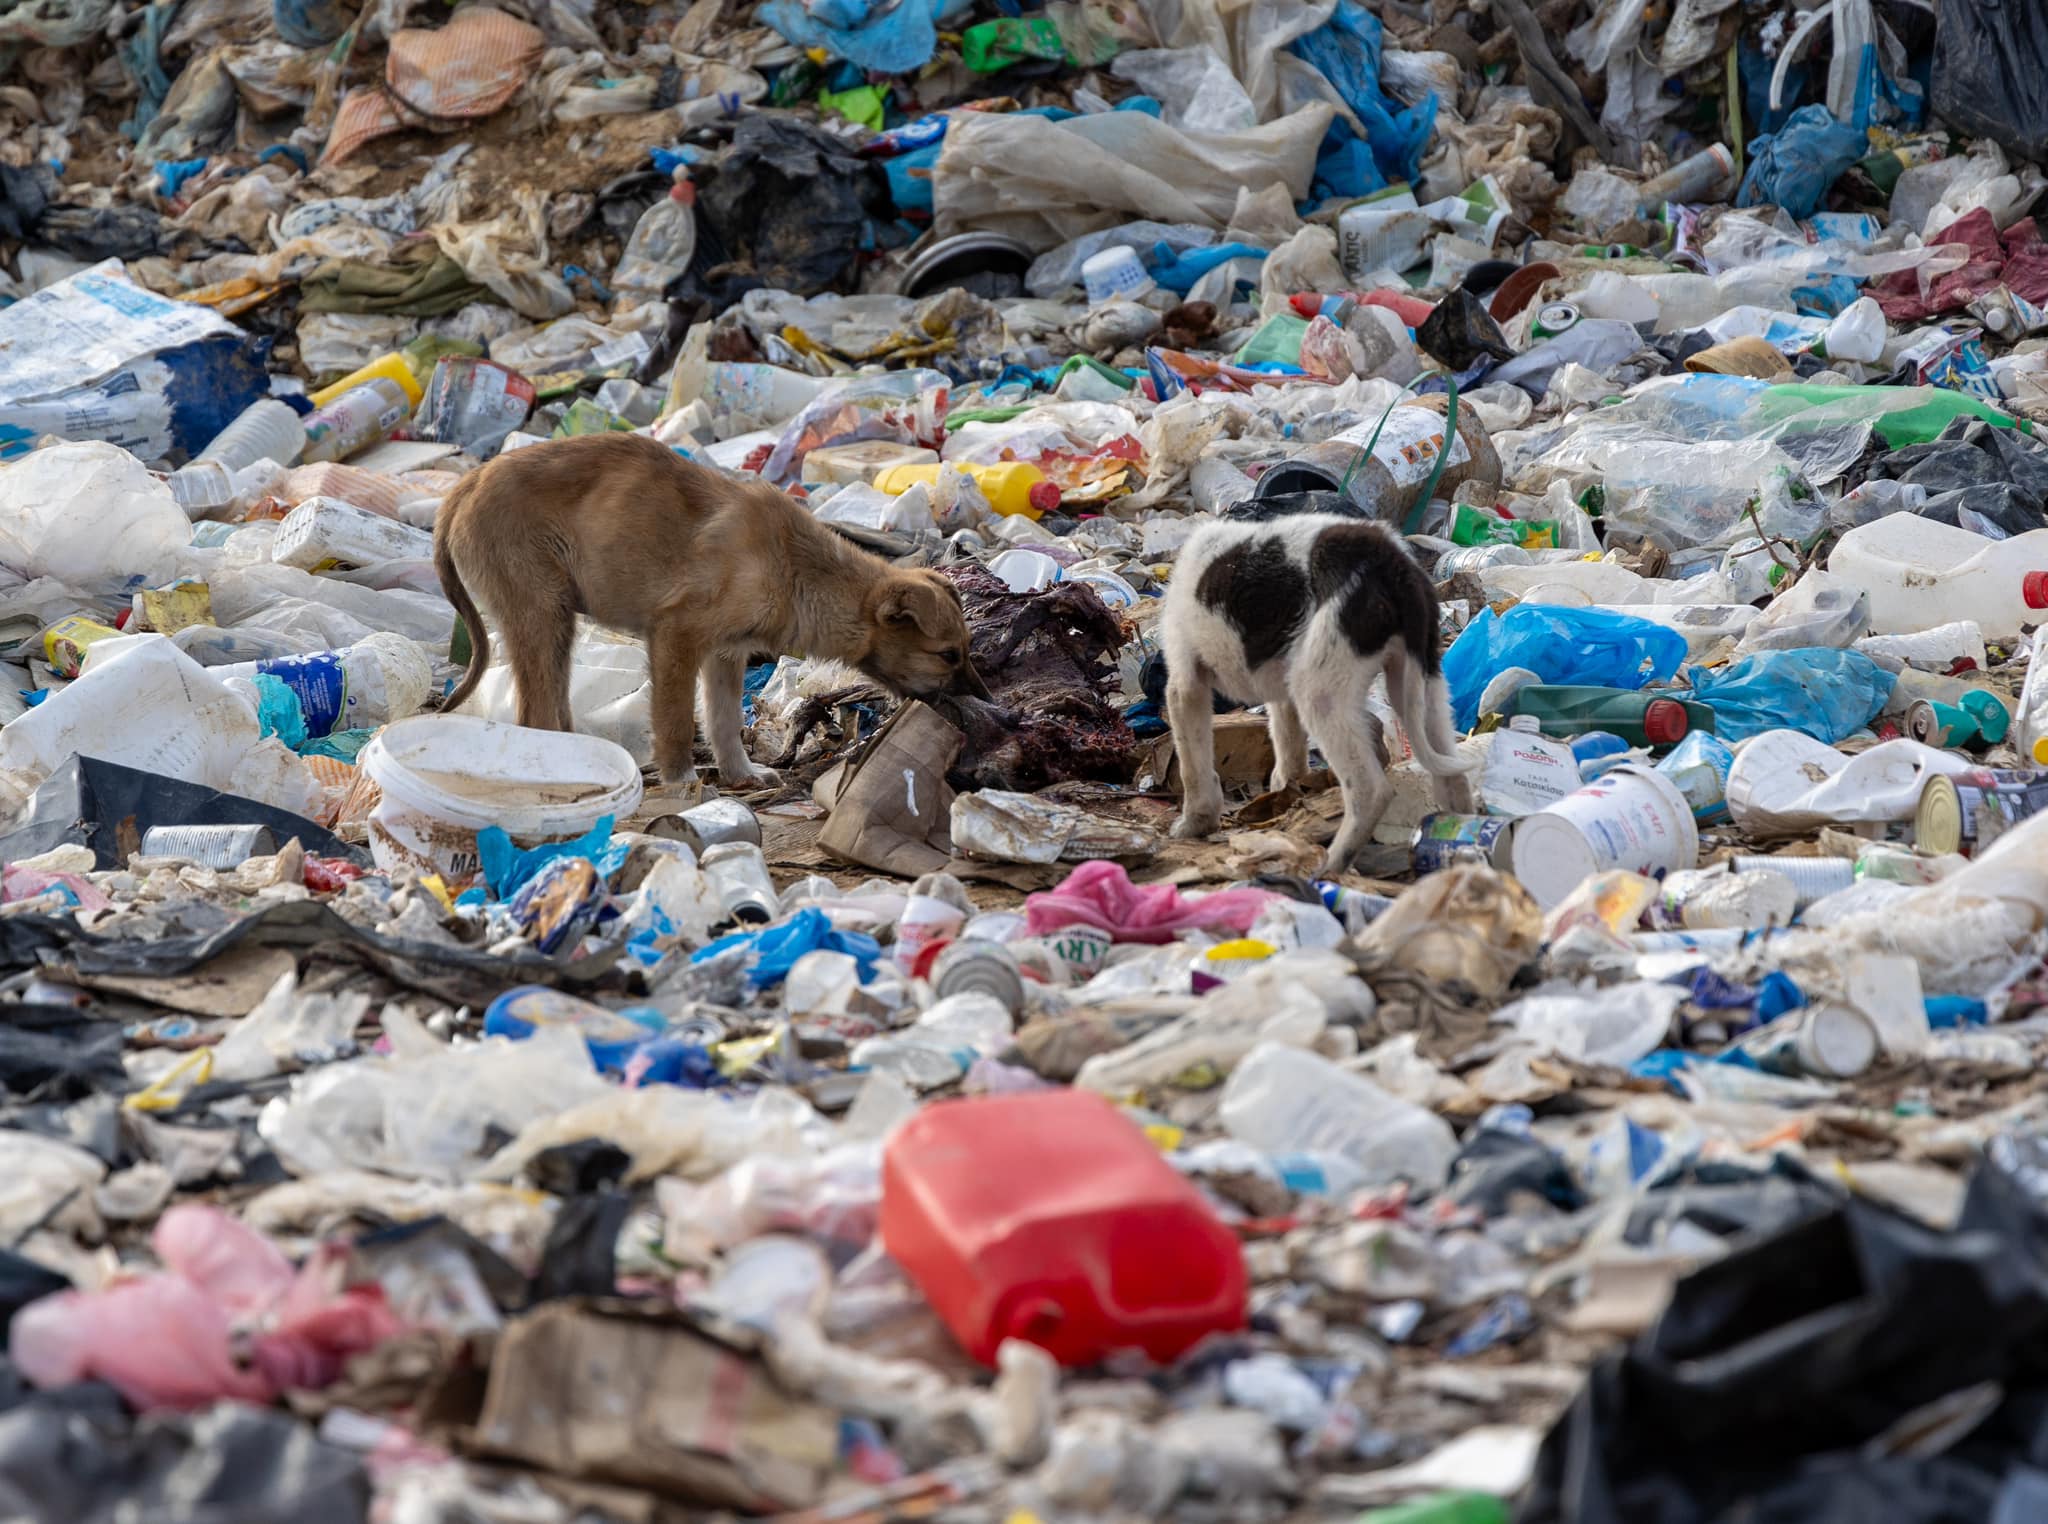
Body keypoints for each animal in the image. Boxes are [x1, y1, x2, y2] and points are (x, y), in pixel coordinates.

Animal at [432, 428, 991, 786]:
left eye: (967, 649)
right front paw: (681, 779)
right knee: (534, 712)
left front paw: (741, 774)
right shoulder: (676, 635)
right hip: (540, 610)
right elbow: (677, 718)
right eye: (947, 654)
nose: (990, 703)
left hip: (557, 621)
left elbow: (722, 720)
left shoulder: (726, 653)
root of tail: (467, 483)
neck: (797, 570)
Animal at [1171, 512, 1474, 868]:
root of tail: (1391, 564)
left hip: (1322, 691)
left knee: (1370, 790)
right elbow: (1288, 744)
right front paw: (1286, 791)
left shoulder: (1185, 681)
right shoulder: (1283, 689)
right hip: (1423, 681)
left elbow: (1192, 763)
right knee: (1453, 776)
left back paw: (1333, 862)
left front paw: (1196, 821)